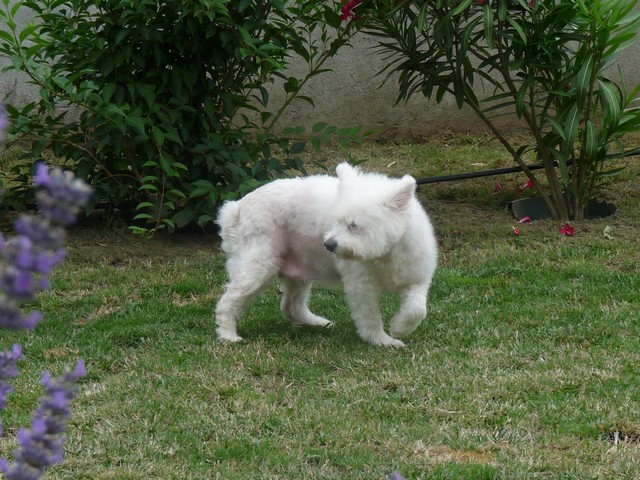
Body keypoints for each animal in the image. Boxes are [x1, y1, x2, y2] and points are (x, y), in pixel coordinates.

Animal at [218, 163, 438, 346]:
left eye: (353, 225)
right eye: (337, 221)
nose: (328, 244)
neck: (384, 254)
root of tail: (238, 207)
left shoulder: (416, 280)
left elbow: (417, 309)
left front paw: (399, 328)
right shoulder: (361, 288)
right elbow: (370, 318)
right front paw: (381, 340)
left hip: (297, 272)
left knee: (291, 307)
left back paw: (317, 323)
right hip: (259, 266)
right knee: (228, 301)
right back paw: (228, 335)